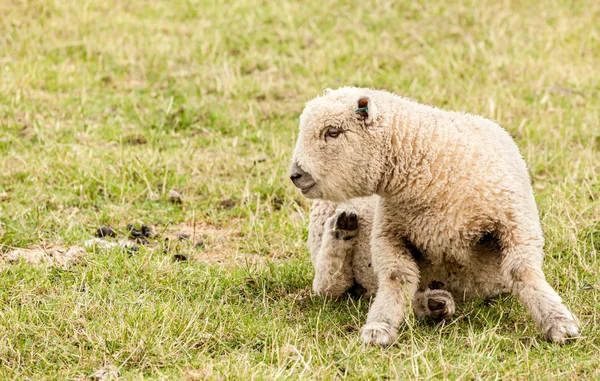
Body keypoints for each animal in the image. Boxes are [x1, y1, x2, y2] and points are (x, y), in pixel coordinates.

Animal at [290, 85, 580, 344]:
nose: (295, 174)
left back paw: (434, 304)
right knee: (328, 285)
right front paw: (379, 327)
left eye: (333, 132)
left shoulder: (515, 221)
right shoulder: (389, 232)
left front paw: (559, 323)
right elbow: (396, 278)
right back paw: (343, 231)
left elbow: (523, 271)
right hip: (321, 229)